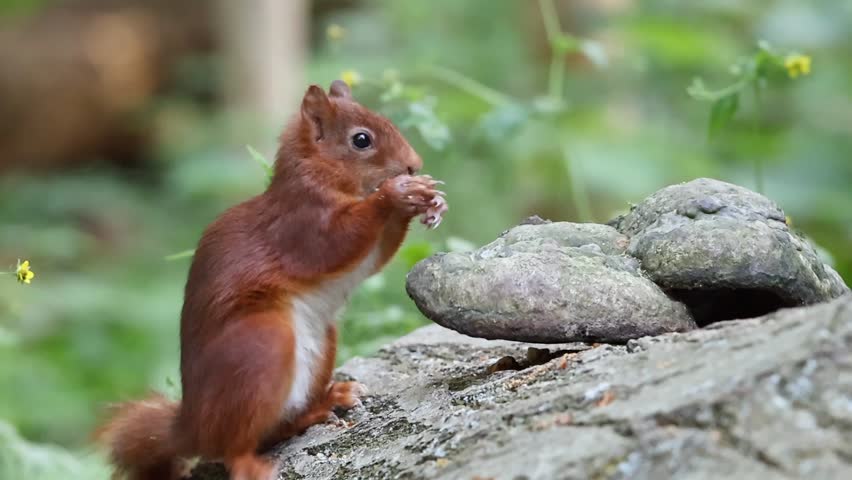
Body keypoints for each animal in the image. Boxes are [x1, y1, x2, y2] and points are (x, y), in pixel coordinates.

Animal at [96, 80, 448, 480]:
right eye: (361, 140)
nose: (414, 164)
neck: (320, 176)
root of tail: (192, 429)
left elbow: (377, 253)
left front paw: (430, 200)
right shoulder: (300, 226)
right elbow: (339, 242)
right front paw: (398, 192)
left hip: (321, 342)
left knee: (277, 427)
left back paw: (328, 402)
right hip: (261, 346)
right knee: (232, 446)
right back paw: (251, 463)